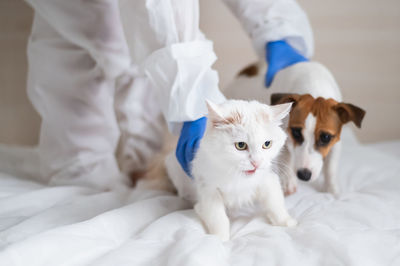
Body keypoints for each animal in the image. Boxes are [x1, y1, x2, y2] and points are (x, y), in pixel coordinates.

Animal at [225, 61, 366, 195]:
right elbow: (287, 160)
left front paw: (332, 189)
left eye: (325, 137)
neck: (314, 84)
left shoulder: (336, 143)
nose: (304, 175)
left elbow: (331, 168)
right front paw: (289, 182)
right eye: (296, 132)